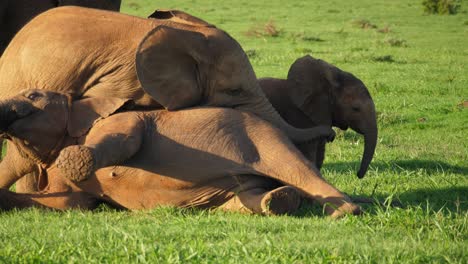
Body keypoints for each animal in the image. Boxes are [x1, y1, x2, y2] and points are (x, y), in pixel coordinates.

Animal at [0, 89, 362, 218]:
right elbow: (67, 203)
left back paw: (344, 212)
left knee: (296, 169)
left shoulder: (121, 120)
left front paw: (74, 161)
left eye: (33, 95)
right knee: (245, 198)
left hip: (263, 137)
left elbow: (127, 140)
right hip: (238, 185)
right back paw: (279, 201)